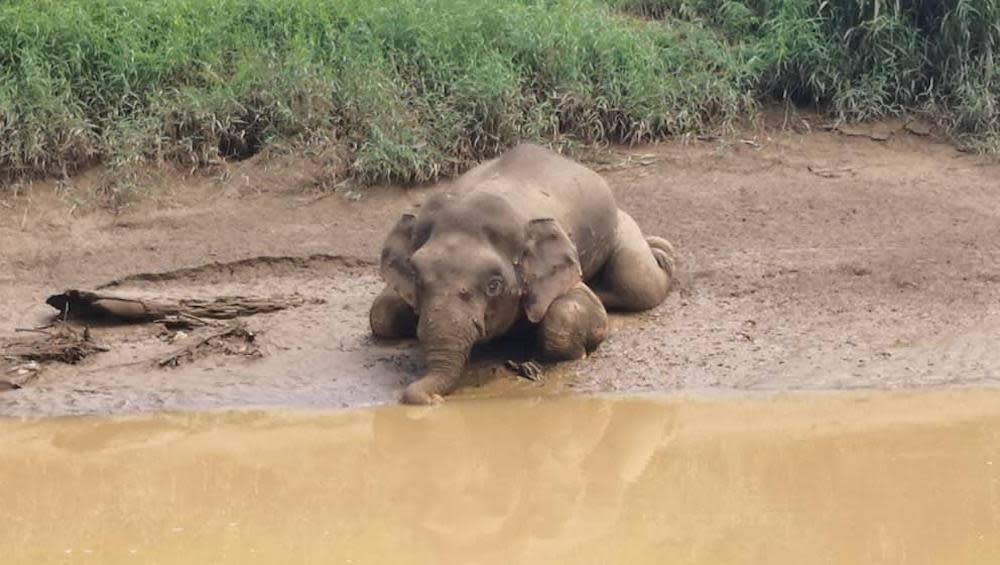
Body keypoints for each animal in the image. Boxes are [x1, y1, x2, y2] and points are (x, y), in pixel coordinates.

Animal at [372, 143, 676, 404]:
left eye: (494, 285)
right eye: (416, 276)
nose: (433, 400)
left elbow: (570, 312)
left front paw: (579, 354)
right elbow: (380, 313)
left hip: (619, 228)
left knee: (637, 281)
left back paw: (664, 255)